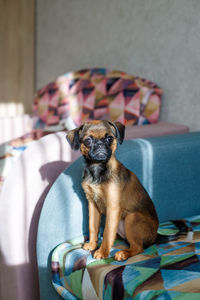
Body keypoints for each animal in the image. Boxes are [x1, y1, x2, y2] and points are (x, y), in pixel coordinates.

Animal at [66, 119, 159, 260]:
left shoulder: (113, 207)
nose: (100, 144)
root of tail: (156, 236)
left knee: (138, 247)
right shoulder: (92, 205)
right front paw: (92, 244)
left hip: (132, 217)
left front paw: (102, 252)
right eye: (88, 140)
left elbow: (107, 231)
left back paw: (123, 253)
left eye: (109, 138)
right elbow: (93, 226)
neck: (97, 168)